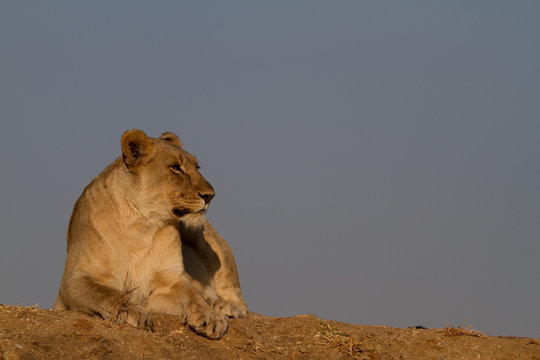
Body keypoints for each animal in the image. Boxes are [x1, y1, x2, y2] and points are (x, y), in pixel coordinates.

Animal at [53, 130, 248, 340]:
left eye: (197, 167)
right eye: (176, 168)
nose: (210, 195)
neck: (142, 223)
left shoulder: (171, 282)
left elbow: (193, 295)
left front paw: (210, 316)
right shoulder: (73, 282)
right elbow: (106, 294)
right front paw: (132, 311)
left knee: (239, 301)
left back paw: (221, 304)